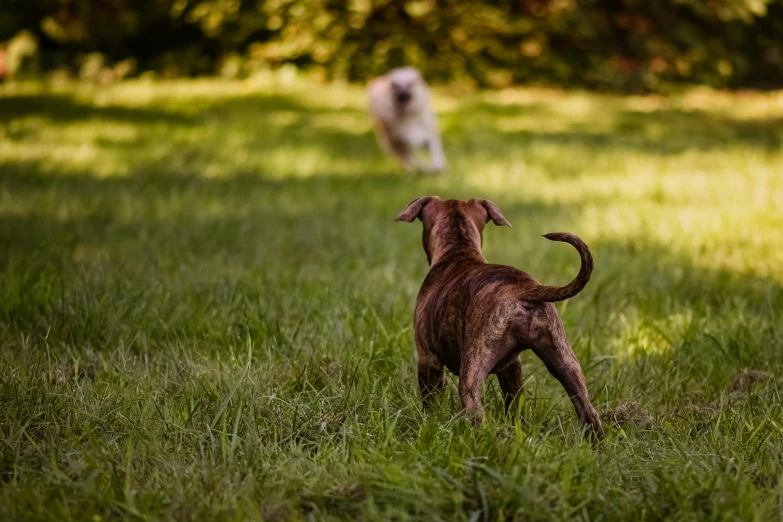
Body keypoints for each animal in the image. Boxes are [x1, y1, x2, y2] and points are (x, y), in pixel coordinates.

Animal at [398, 193, 608, 436]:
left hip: (472, 369)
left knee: (475, 410)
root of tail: (524, 290)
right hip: (564, 361)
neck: (458, 251)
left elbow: (429, 400)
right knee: (588, 410)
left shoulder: (427, 359)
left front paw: (429, 421)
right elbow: (514, 401)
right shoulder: (511, 367)